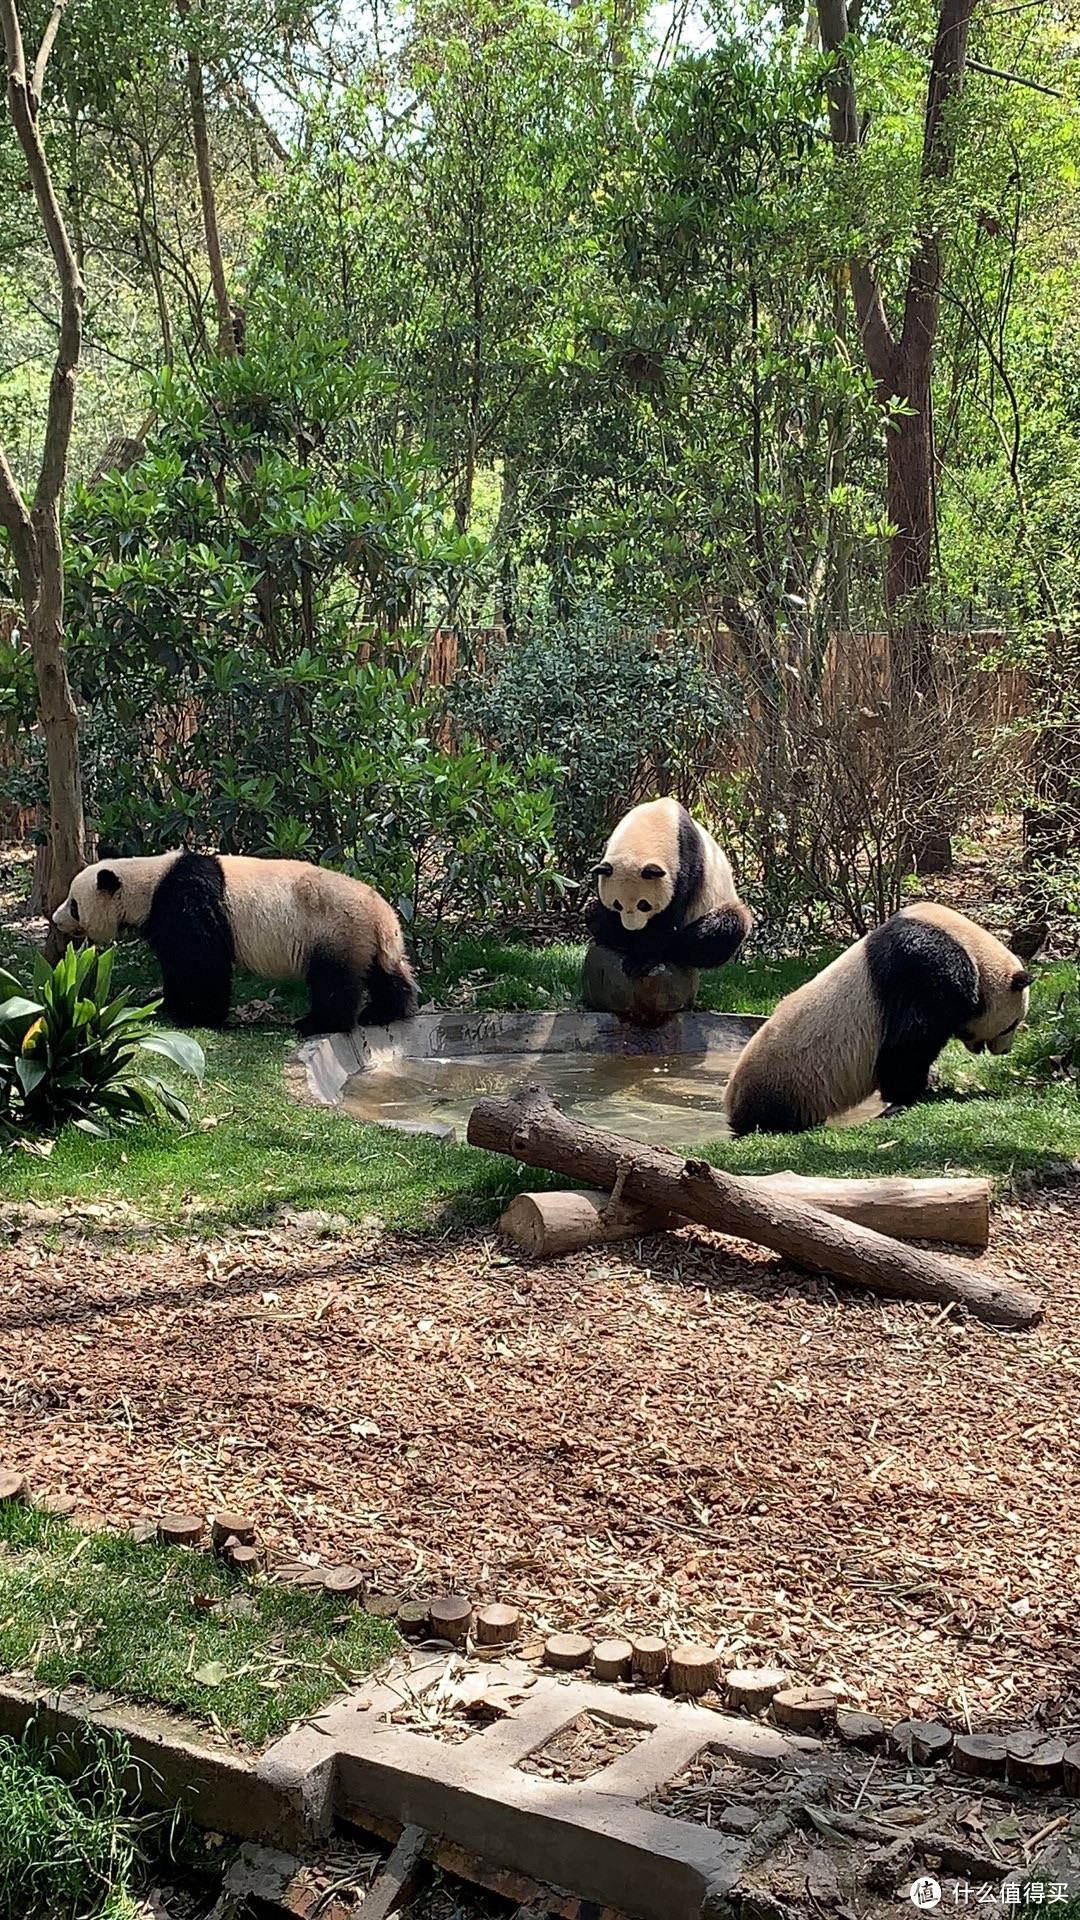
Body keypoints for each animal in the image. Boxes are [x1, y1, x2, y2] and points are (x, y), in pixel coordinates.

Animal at [580, 794, 749, 975]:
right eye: (617, 904)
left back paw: (673, 949)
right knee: (591, 911)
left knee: (724, 927)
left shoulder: (685, 863)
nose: (633, 928)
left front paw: (639, 961)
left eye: (643, 904)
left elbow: (667, 916)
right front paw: (619, 937)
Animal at [718, 902, 1030, 1128]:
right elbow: (908, 1042)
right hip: (790, 1085)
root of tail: (731, 1102)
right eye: (1012, 1024)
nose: (1005, 1050)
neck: (970, 946)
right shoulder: (929, 969)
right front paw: (911, 1093)